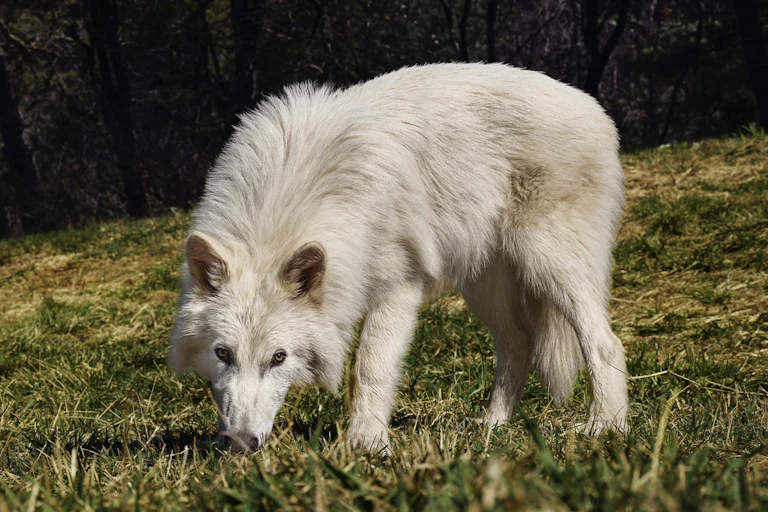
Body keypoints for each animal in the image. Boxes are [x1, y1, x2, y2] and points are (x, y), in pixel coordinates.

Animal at [169, 63, 628, 453]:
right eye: (222, 354)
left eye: (278, 358)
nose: (239, 446)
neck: (291, 197)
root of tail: (593, 106)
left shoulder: (399, 287)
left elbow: (370, 367)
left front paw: (367, 445)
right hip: (485, 287)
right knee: (519, 343)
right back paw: (492, 425)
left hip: (550, 266)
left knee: (605, 342)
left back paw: (606, 426)